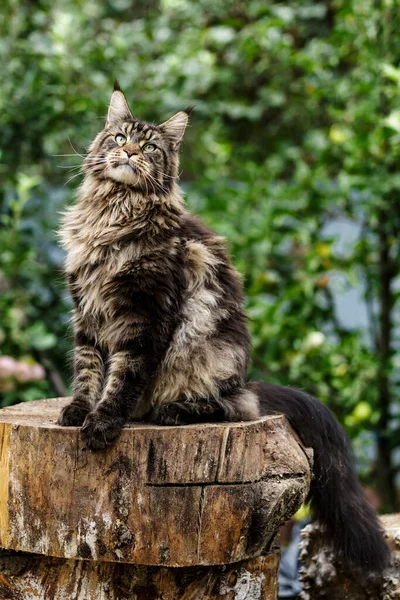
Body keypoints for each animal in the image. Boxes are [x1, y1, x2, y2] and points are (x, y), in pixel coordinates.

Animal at [59, 82, 390, 576]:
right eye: (119, 137)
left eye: (150, 147)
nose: (131, 151)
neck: (114, 213)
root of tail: (244, 377)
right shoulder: (87, 313)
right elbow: (86, 373)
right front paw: (79, 411)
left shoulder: (144, 315)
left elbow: (121, 378)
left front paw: (102, 424)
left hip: (208, 356)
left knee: (235, 406)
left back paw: (173, 412)